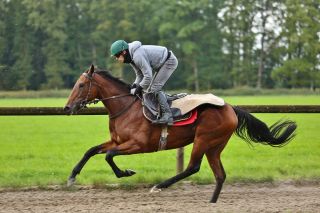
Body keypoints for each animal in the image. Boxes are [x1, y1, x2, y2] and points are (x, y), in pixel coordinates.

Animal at [63, 65, 298, 203]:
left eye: (81, 85)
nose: (67, 108)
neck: (126, 108)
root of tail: (231, 107)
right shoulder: (116, 140)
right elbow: (92, 150)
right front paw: (72, 177)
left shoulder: (138, 144)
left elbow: (109, 156)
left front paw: (126, 172)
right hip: (215, 146)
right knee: (220, 175)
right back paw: (211, 203)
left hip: (204, 139)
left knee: (193, 167)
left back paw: (159, 186)